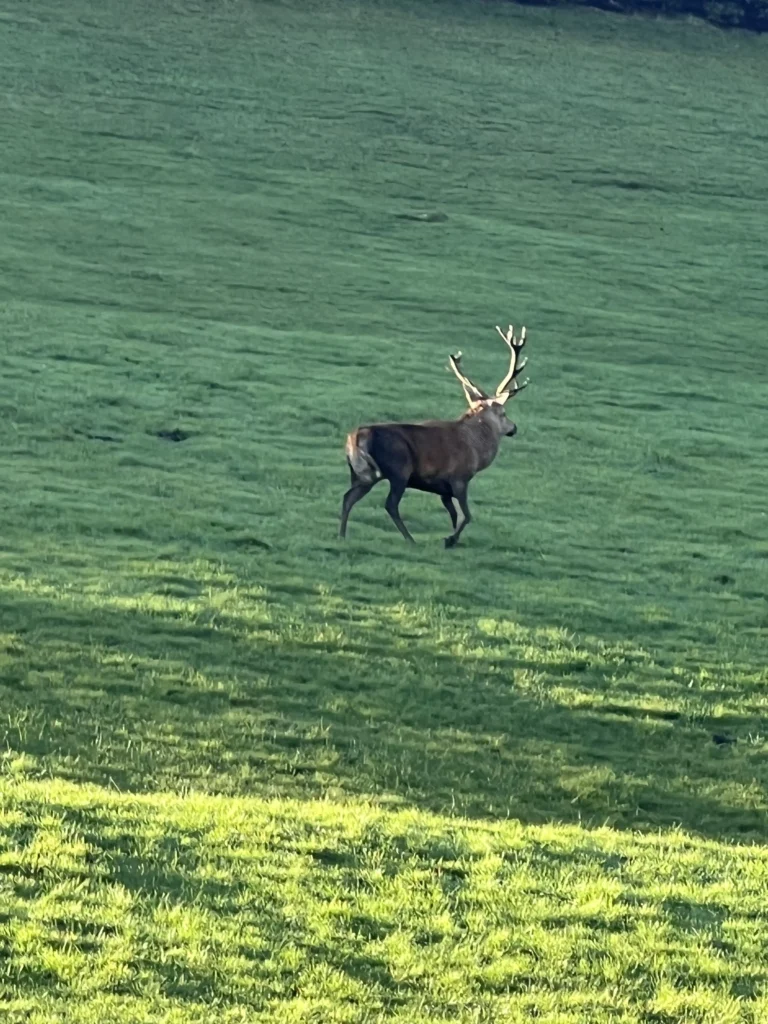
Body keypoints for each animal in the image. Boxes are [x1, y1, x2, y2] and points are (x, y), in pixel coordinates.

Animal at [339, 322, 529, 547]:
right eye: (503, 413)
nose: (514, 427)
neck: (476, 449)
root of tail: (356, 437)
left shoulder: (443, 490)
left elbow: (454, 515)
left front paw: (452, 539)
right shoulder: (459, 478)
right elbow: (467, 515)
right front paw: (449, 540)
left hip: (361, 473)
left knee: (348, 497)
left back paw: (341, 535)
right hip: (398, 469)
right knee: (390, 504)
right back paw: (410, 539)